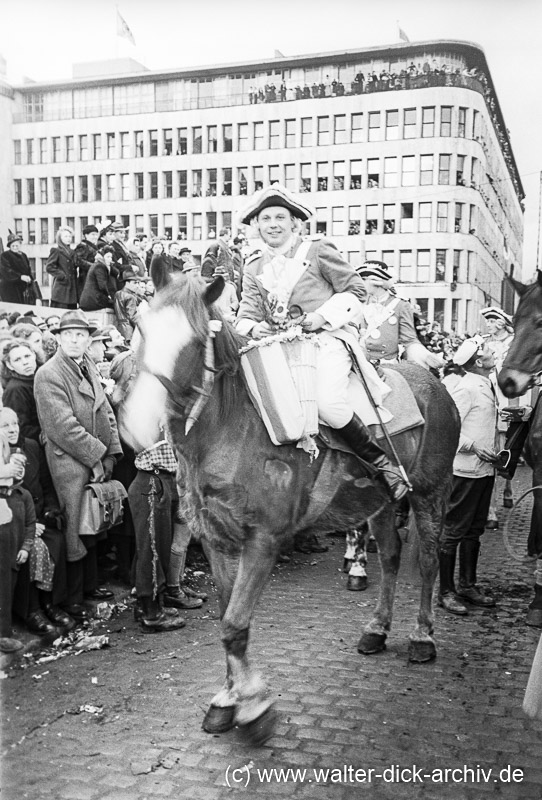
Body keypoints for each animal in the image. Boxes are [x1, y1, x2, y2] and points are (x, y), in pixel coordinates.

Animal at [121, 274, 462, 744]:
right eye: (140, 327)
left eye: (193, 339)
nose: (136, 421)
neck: (233, 428)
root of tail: (437, 385)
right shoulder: (216, 540)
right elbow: (228, 619)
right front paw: (229, 698)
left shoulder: (263, 540)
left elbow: (234, 624)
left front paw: (254, 707)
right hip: (379, 502)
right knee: (392, 558)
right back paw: (377, 629)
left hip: (432, 492)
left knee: (427, 560)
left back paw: (422, 638)